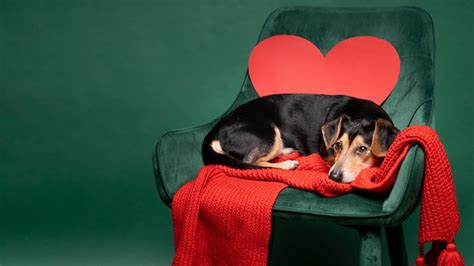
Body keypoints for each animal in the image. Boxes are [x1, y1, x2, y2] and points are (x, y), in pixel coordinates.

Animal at [202, 93, 398, 183]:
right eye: (337, 146)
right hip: (269, 135)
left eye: (363, 149)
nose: (333, 176)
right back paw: (287, 165)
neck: (362, 114)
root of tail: (217, 128)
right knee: (251, 163)